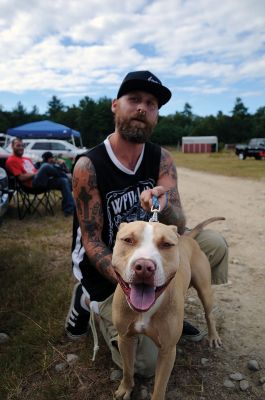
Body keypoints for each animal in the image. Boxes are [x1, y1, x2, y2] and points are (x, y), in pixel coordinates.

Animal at [111, 219, 223, 400]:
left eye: (166, 244)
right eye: (128, 240)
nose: (144, 266)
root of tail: (186, 237)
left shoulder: (167, 351)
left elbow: (159, 387)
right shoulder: (125, 338)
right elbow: (128, 369)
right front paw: (125, 388)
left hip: (205, 289)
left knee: (209, 314)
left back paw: (213, 336)